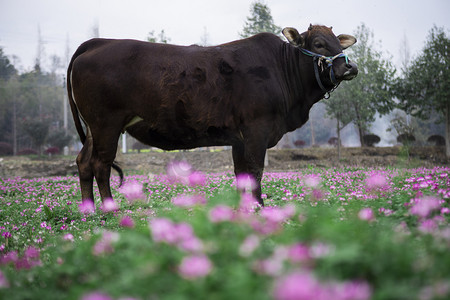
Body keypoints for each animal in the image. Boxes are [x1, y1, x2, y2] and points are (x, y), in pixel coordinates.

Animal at [67, 24, 358, 206]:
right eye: (319, 44)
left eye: (338, 43)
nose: (350, 66)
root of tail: (97, 43)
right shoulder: (257, 129)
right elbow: (256, 170)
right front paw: (259, 207)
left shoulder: (239, 138)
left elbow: (241, 172)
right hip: (106, 124)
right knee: (100, 165)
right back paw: (110, 210)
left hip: (93, 128)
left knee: (83, 162)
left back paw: (89, 211)